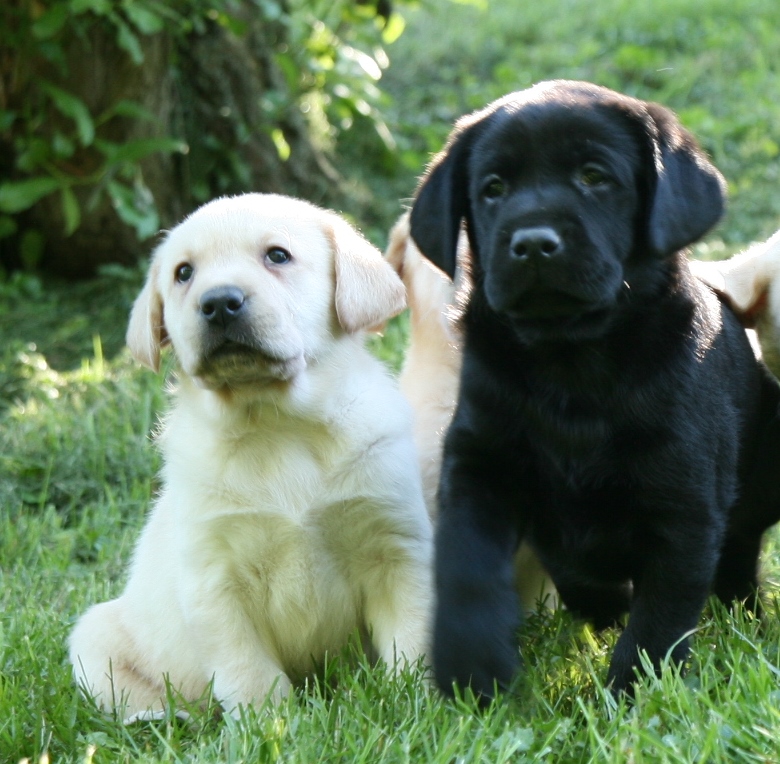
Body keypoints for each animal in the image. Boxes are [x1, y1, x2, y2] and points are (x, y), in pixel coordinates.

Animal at [68, 191, 432, 724]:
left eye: (277, 256)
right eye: (183, 273)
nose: (219, 302)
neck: (277, 427)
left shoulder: (396, 548)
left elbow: (412, 635)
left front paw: (419, 699)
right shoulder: (214, 581)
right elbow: (249, 671)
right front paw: (272, 726)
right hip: (94, 637)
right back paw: (172, 718)